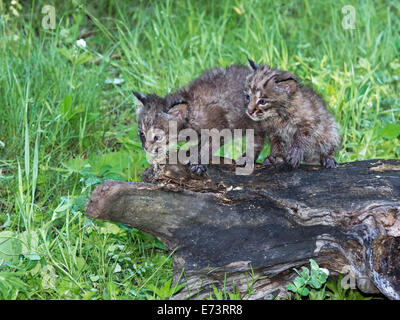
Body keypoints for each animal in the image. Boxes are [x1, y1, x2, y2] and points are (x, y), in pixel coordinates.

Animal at [134, 65, 268, 175]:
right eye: (142, 134)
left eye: (157, 137)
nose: (145, 148)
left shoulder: (219, 129)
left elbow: (208, 146)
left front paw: (199, 163)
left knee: (259, 138)